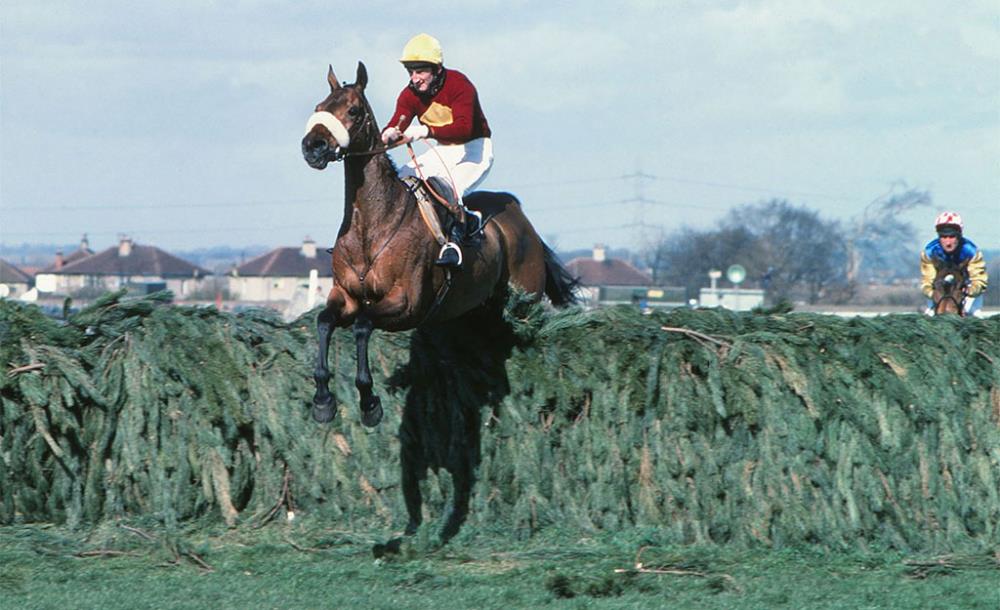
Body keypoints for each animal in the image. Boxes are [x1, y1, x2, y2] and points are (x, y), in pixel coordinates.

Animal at [301, 62, 577, 541]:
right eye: (320, 106)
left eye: (352, 110)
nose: (312, 146)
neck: (372, 222)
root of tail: (521, 219)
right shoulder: (345, 297)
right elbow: (323, 323)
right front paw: (323, 401)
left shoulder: (405, 305)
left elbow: (363, 327)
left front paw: (370, 403)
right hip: (474, 309)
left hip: (524, 297)